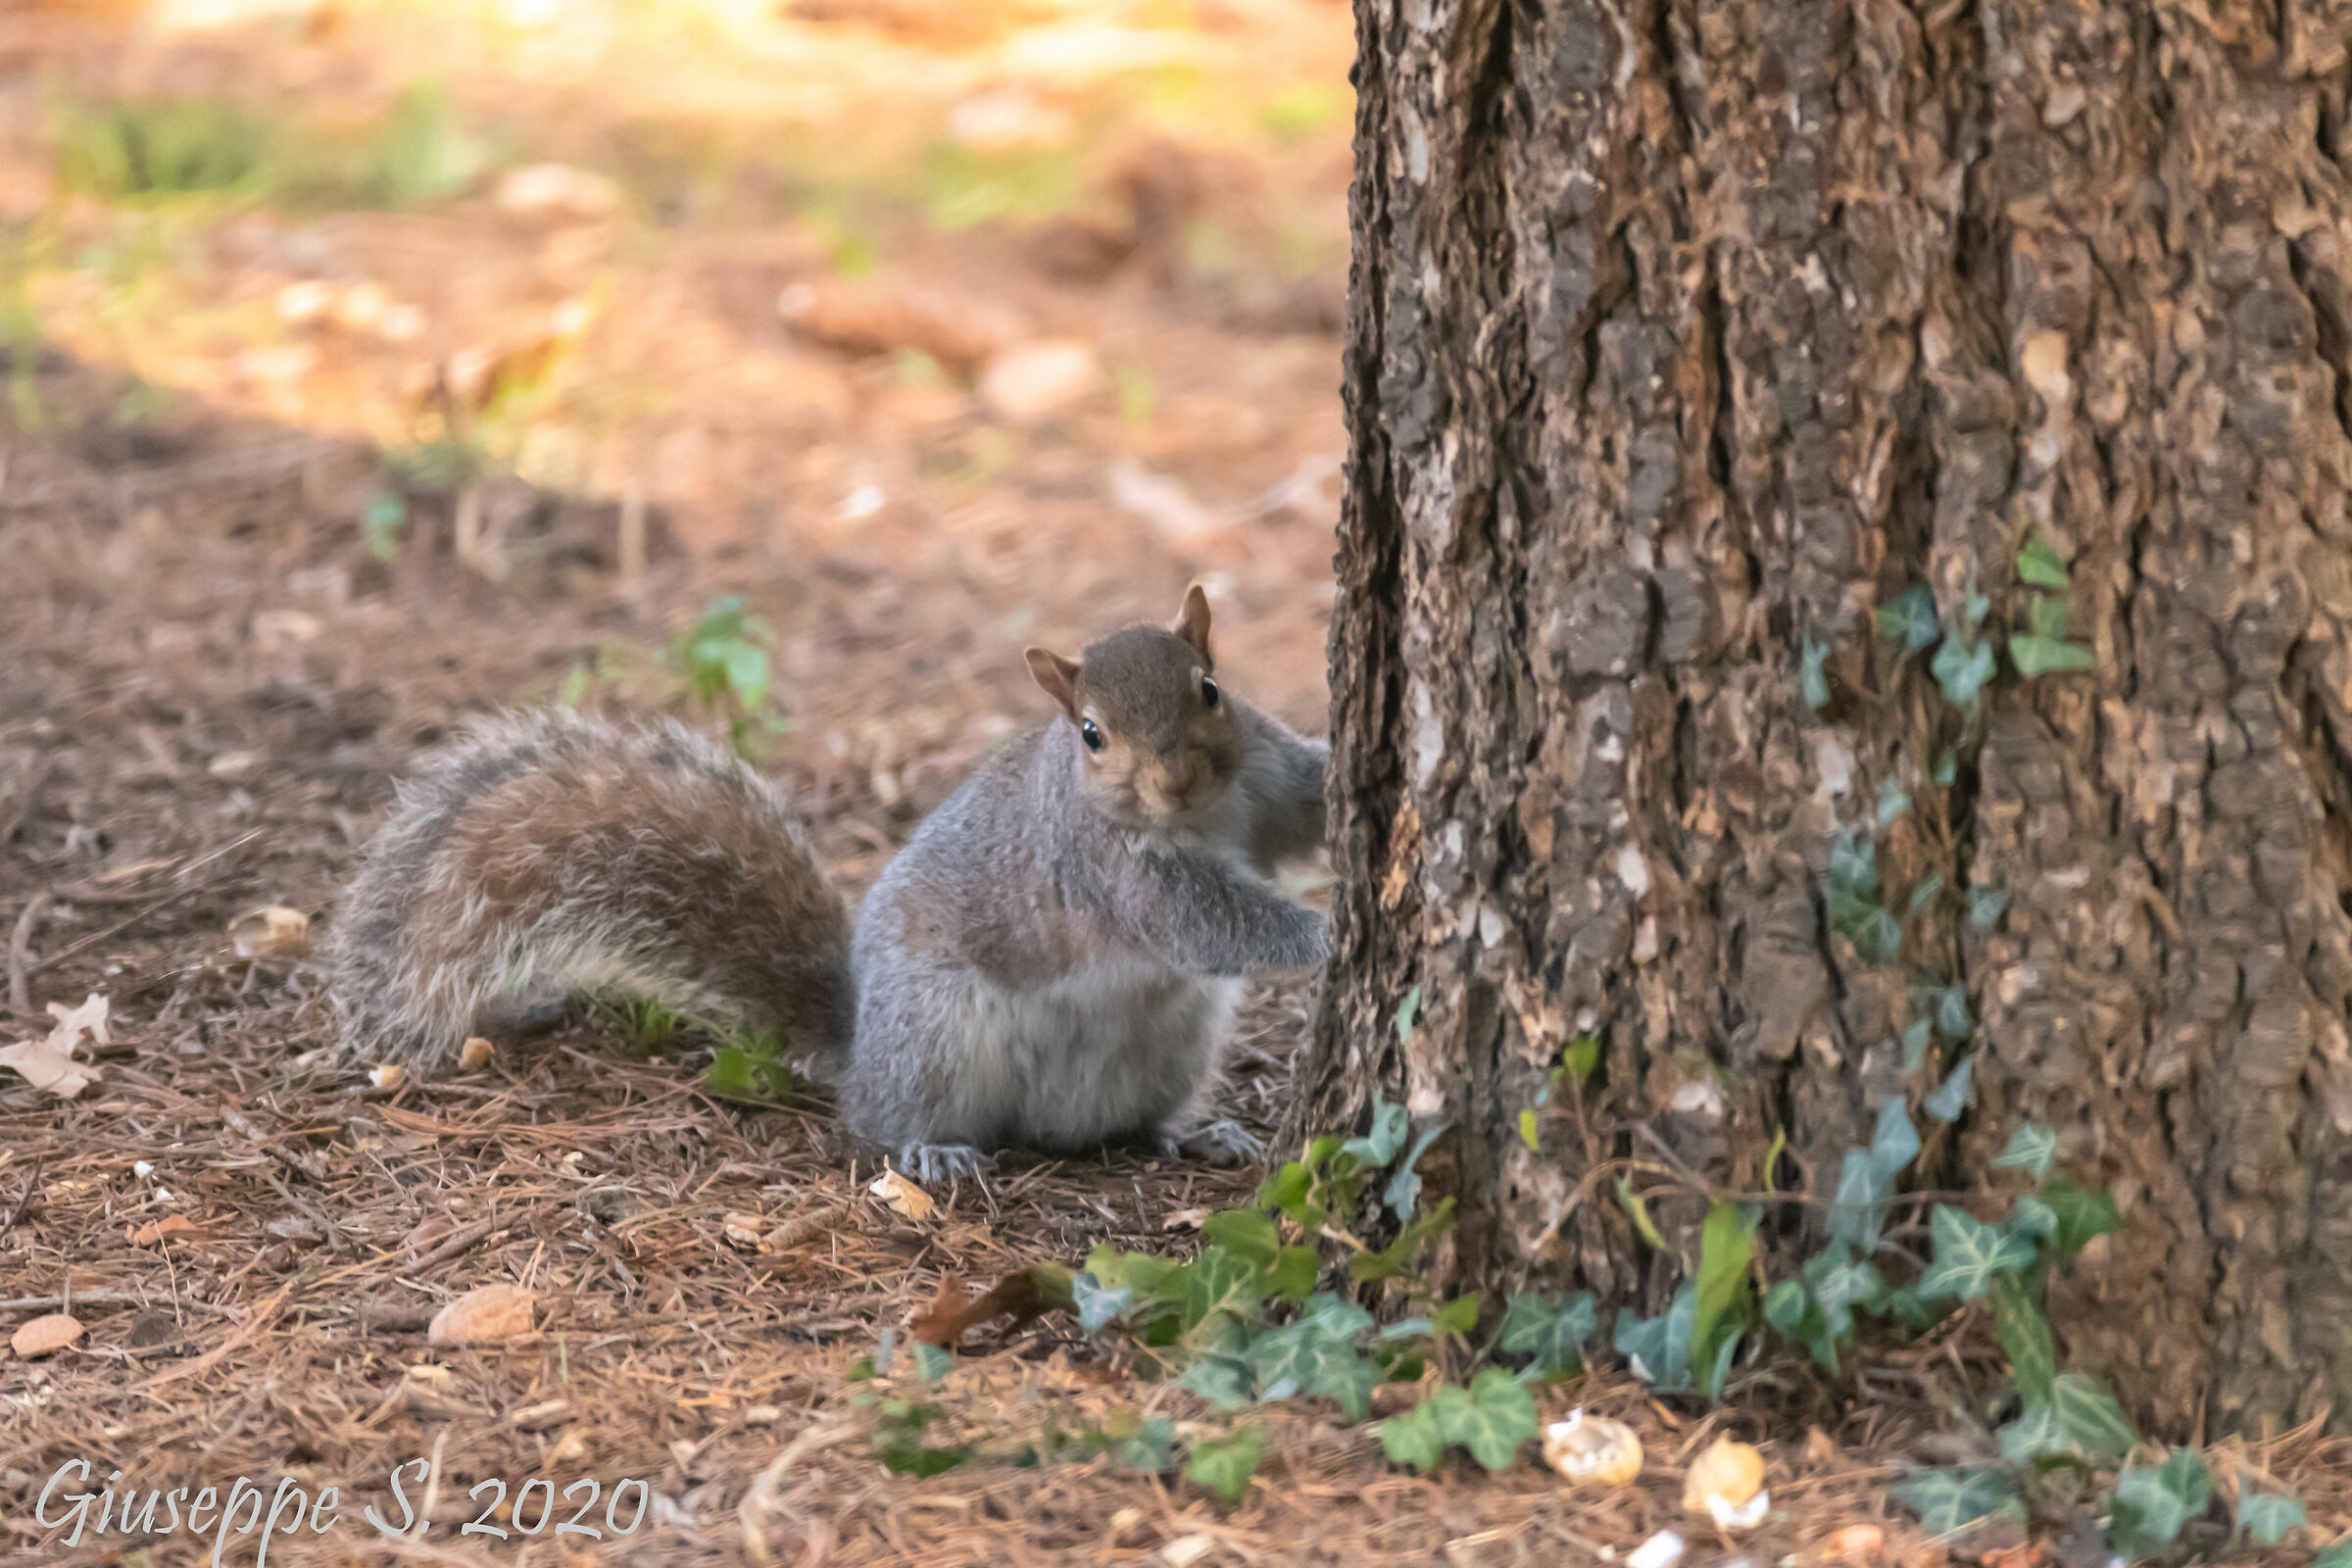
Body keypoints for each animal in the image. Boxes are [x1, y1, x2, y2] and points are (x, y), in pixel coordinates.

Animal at [324, 585, 1331, 1181]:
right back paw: (931, 1150)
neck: (1200, 818)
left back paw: (1192, 1131)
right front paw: (1322, 935)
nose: (1178, 782)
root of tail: (860, 1043)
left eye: (1209, 689)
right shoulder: (1106, 871)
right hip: (937, 1031)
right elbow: (1206, 922)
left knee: (1131, 1123)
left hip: (1174, 1040)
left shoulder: (1262, 778)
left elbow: (1305, 806)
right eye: (1091, 733)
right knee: (882, 1120)